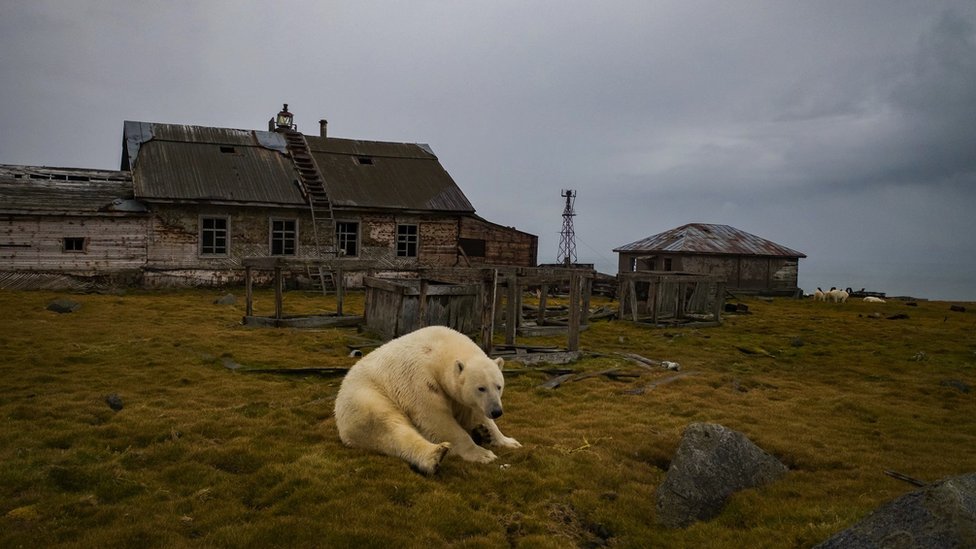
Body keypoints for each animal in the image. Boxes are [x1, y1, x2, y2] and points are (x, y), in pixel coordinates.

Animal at [334, 325, 521, 475]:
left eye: (499, 386)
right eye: (481, 388)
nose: (496, 411)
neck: (439, 348)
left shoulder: (462, 399)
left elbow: (475, 412)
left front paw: (508, 441)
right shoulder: (419, 379)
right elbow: (435, 417)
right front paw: (483, 454)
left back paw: (481, 433)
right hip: (367, 398)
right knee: (389, 426)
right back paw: (435, 455)